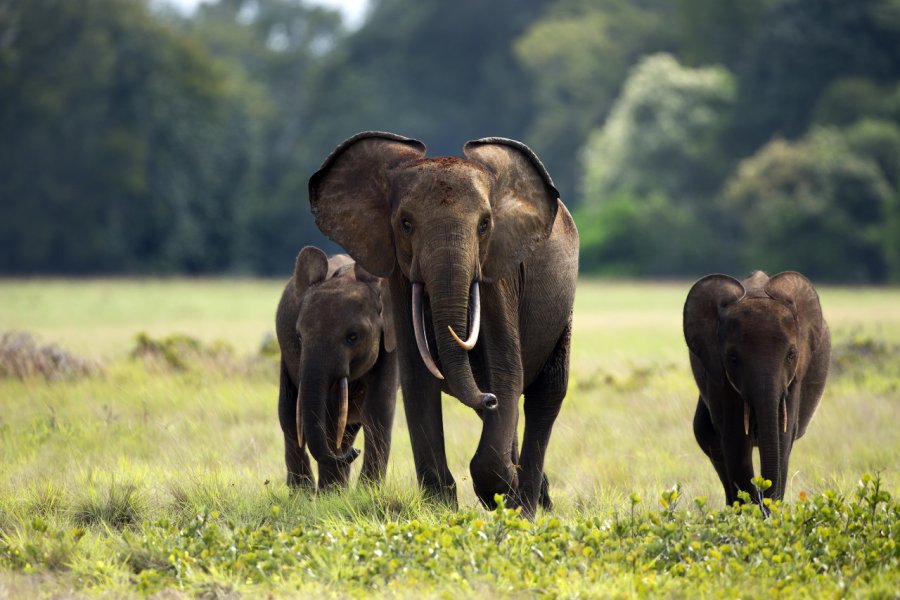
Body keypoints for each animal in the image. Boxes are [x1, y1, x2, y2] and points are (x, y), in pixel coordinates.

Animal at [274, 246, 398, 490]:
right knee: (288, 412)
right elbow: (328, 412)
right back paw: (303, 492)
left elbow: (378, 407)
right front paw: (331, 493)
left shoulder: (393, 341)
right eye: (299, 337)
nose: (354, 453)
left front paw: (368, 491)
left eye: (353, 337)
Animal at [310, 132, 580, 516]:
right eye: (406, 223)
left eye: (485, 224)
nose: (488, 398)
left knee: (546, 394)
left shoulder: (498, 272)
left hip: (562, 310)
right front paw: (441, 506)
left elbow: (505, 369)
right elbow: (416, 376)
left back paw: (525, 506)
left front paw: (496, 494)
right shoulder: (398, 272)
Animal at [684, 270, 832, 504]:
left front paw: (769, 509)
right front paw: (752, 508)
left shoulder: (794, 381)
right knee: (709, 440)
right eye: (732, 358)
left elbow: (782, 439)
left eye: (792, 355)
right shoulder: (720, 379)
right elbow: (736, 442)